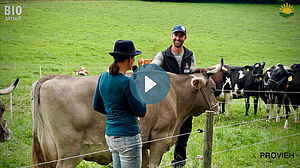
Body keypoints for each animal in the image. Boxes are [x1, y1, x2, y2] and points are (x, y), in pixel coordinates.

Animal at [31, 59, 223, 167]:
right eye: (213, 88)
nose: (216, 109)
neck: (174, 93)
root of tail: (51, 78)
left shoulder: (143, 143)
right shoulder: (159, 137)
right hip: (69, 153)